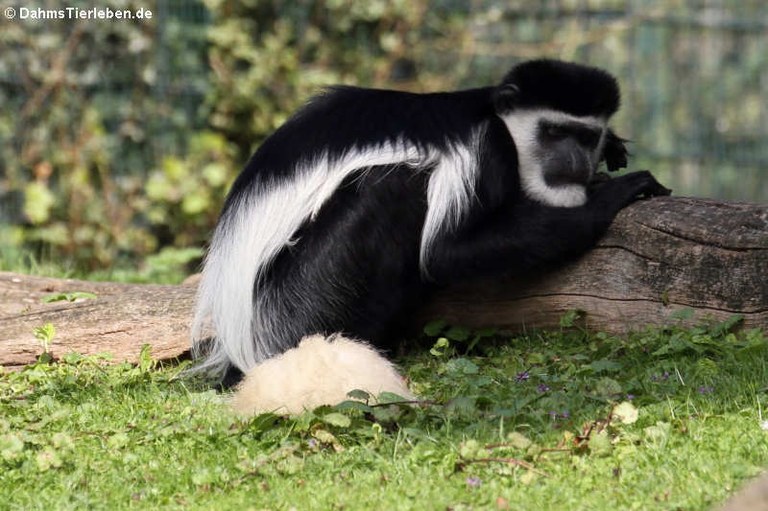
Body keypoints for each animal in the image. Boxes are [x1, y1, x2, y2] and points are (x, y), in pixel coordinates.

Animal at [192, 59, 672, 416]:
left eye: (586, 136)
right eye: (553, 132)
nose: (574, 160)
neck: (497, 120)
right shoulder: (484, 151)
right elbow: (448, 253)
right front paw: (614, 192)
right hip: (298, 300)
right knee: (387, 187)